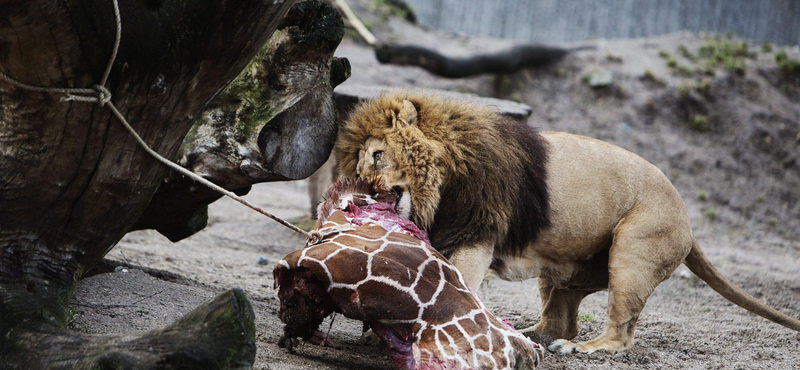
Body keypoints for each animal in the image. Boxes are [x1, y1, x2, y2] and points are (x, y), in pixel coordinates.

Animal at [334, 90, 800, 356]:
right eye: (358, 165)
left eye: (377, 156)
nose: (364, 191)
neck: (441, 182)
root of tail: (687, 217)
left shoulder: (476, 234)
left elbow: (456, 285)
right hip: (563, 269)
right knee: (559, 319)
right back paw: (530, 334)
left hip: (634, 251)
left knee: (620, 335)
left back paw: (583, 350)